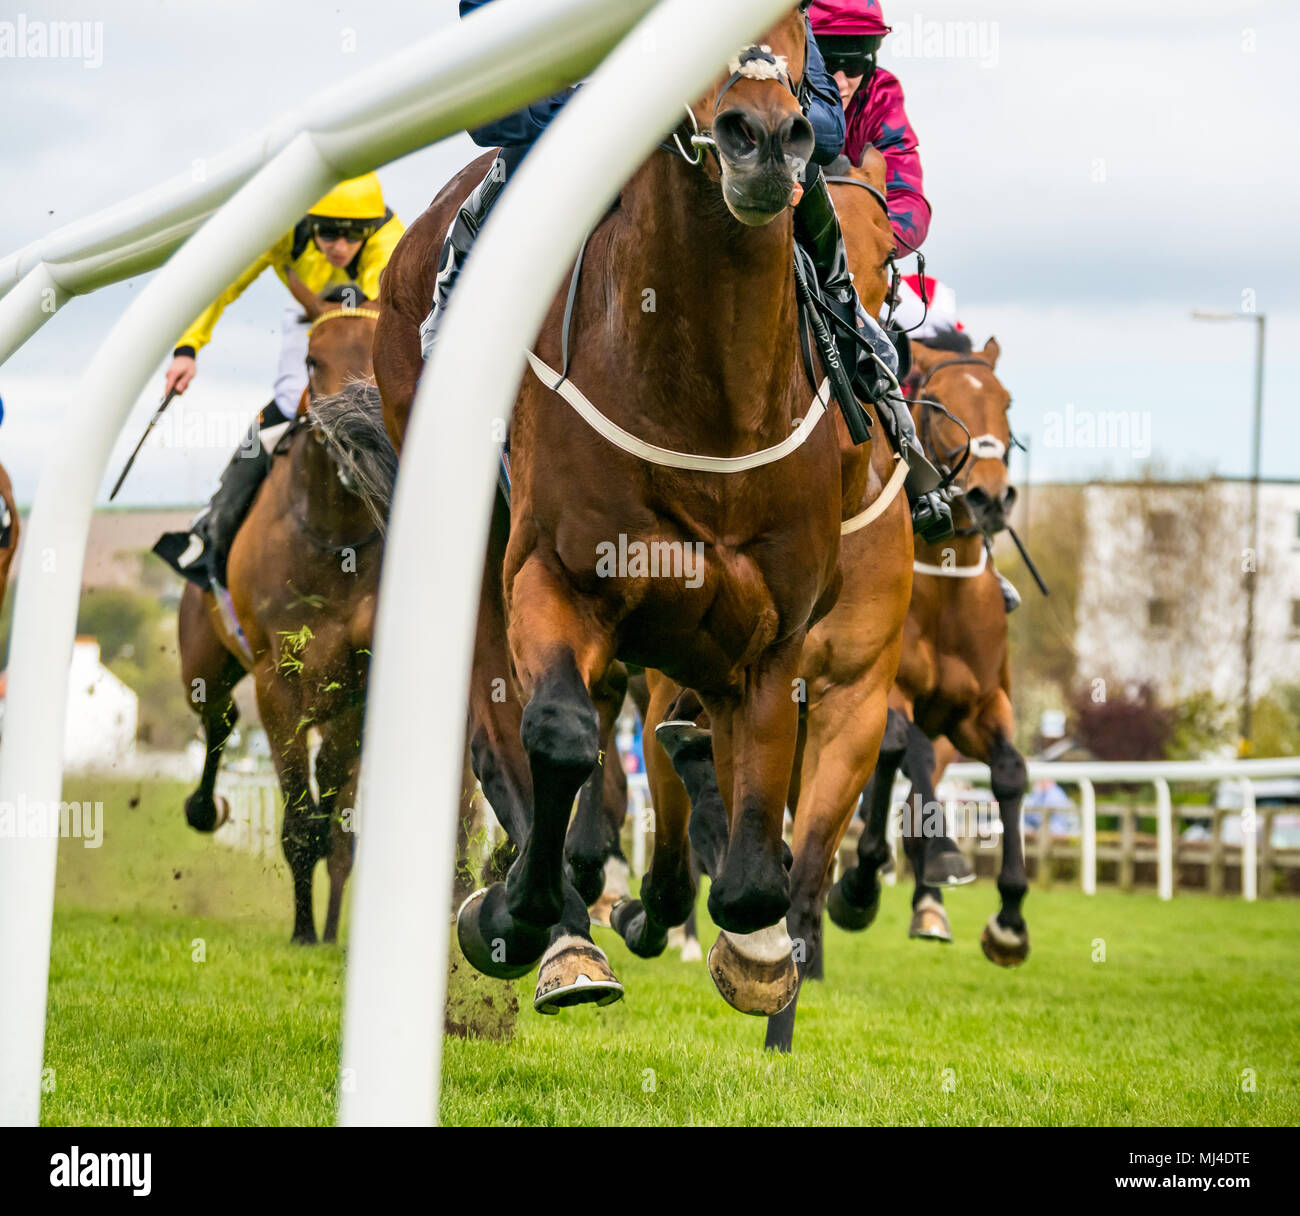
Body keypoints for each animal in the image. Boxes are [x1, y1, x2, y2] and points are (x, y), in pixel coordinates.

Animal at [176, 301, 395, 944]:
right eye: (311, 359)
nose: (350, 443)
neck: (333, 537)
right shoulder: (278, 683)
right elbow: (299, 820)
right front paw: (302, 934)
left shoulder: (358, 683)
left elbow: (339, 820)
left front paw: (325, 931)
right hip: (204, 665)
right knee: (218, 721)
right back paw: (204, 807)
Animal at [376, 13, 860, 1016]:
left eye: (798, 19)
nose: (762, 138)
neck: (712, 402)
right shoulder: (554, 577)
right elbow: (557, 736)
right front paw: (522, 913)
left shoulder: (773, 634)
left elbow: (752, 860)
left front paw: (752, 948)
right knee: (506, 727)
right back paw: (558, 925)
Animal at [610, 147, 914, 1049]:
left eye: (888, 262)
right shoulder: (686, 674)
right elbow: (680, 805)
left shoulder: (853, 698)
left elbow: (804, 867)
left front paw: (779, 1005)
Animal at [826, 332, 1031, 967]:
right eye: (939, 404)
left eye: (1006, 402)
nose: (991, 497)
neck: (947, 588)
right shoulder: (893, 692)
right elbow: (901, 751)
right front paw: (863, 883)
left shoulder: (980, 708)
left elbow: (1010, 772)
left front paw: (1009, 918)